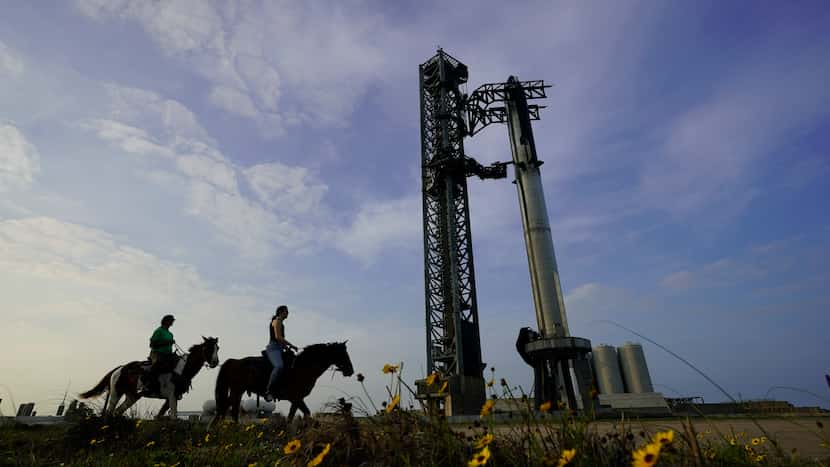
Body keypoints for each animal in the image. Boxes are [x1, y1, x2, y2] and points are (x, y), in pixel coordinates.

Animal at [78, 336, 219, 420]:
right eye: (208, 348)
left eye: (217, 348)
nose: (215, 362)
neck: (181, 369)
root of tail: (119, 368)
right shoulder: (172, 396)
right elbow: (173, 417)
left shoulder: (172, 397)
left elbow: (161, 415)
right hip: (116, 393)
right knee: (109, 412)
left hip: (132, 396)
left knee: (117, 412)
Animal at [211, 342, 354, 426]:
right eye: (343, 354)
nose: (350, 370)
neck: (303, 367)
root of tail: (233, 361)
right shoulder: (296, 398)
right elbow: (302, 414)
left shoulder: (296, 399)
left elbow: (295, 416)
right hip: (237, 390)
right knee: (226, 407)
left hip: (238, 391)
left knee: (233, 408)